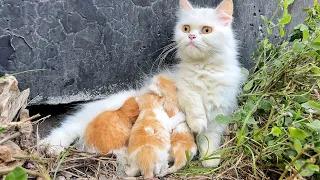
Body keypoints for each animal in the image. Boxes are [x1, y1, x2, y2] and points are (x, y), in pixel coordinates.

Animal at [172, 0, 242, 167]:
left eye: (206, 30)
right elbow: (195, 102)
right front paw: (197, 123)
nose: (191, 36)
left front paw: (210, 159)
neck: (204, 68)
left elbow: (210, 137)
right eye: (186, 28)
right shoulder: (183, 89)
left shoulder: (220, 110)